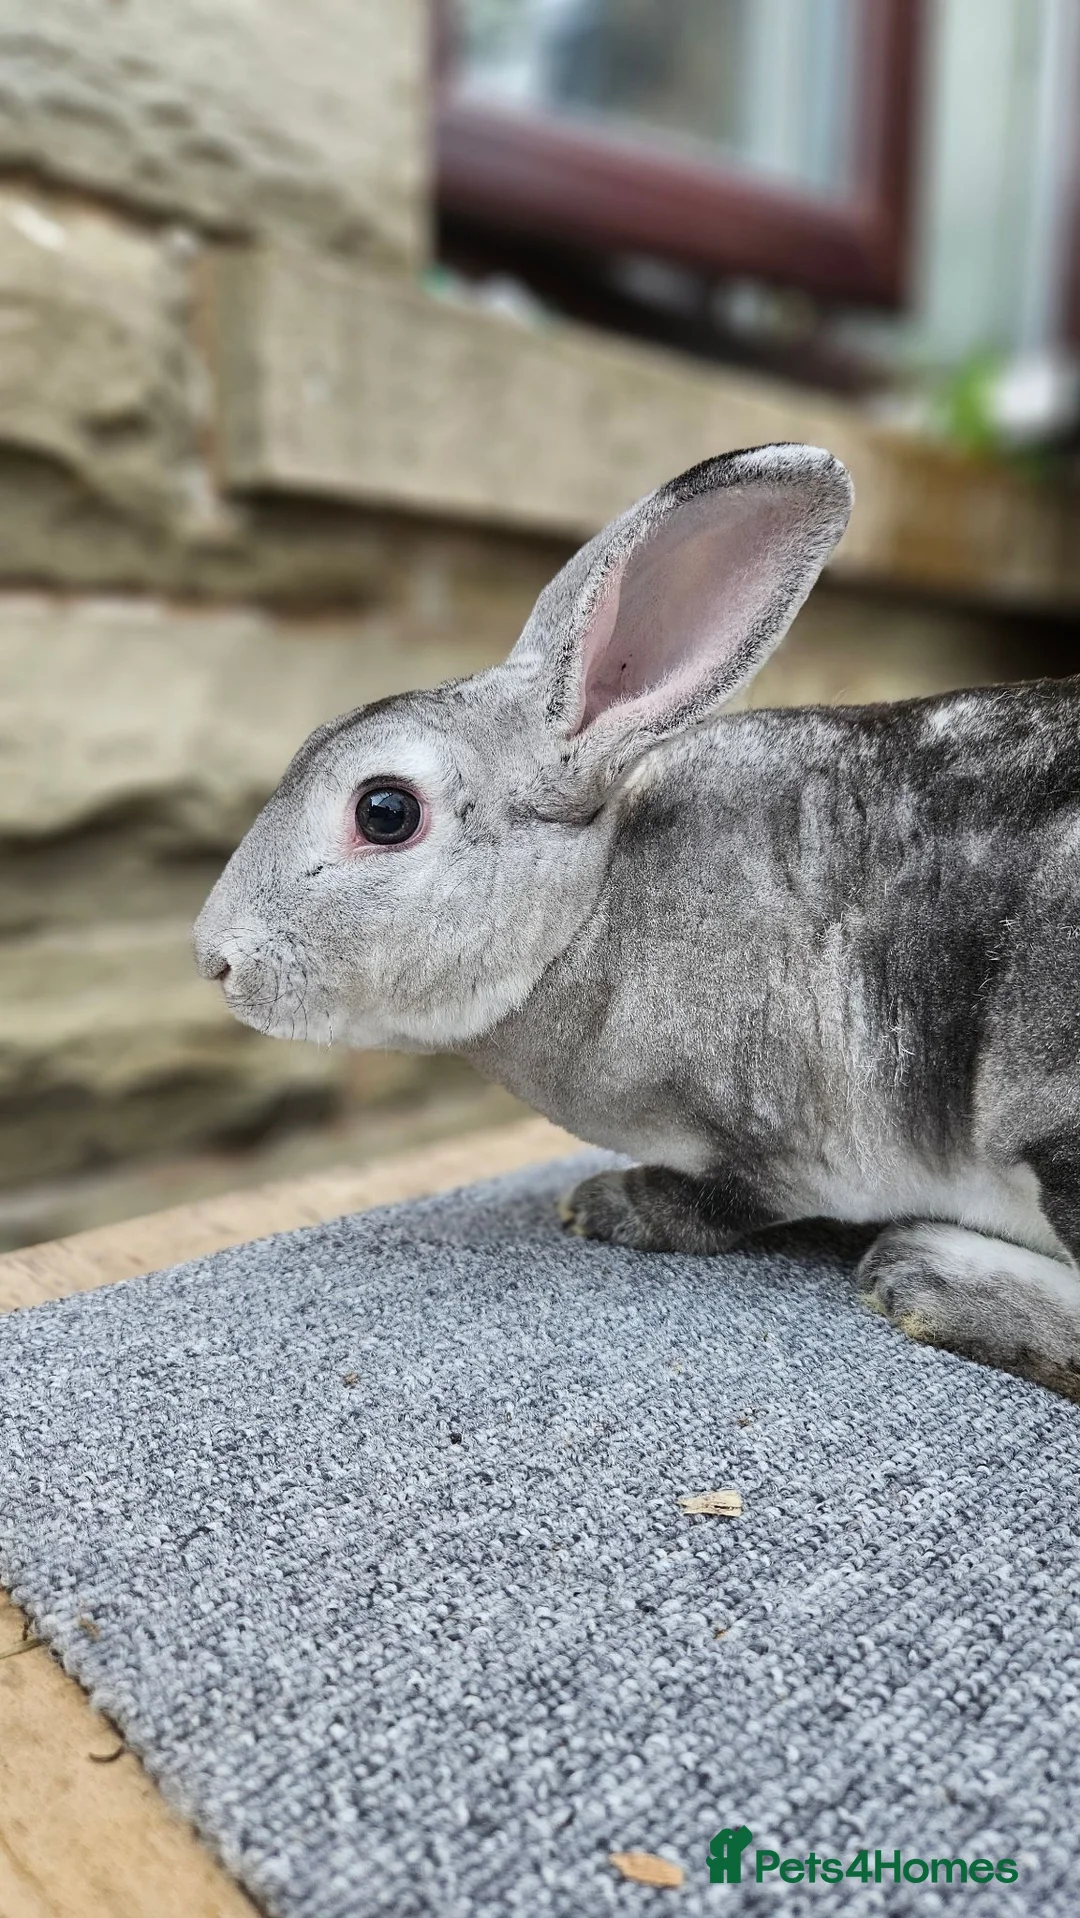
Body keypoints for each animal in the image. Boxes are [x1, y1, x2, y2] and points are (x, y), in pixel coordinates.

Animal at [195, 442, 1080, 1401]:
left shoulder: (780, 1144)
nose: (213, 960)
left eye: (385, 812)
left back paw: (927, 1274)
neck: (592, 915)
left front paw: (601, 1206)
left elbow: (711, 1209)